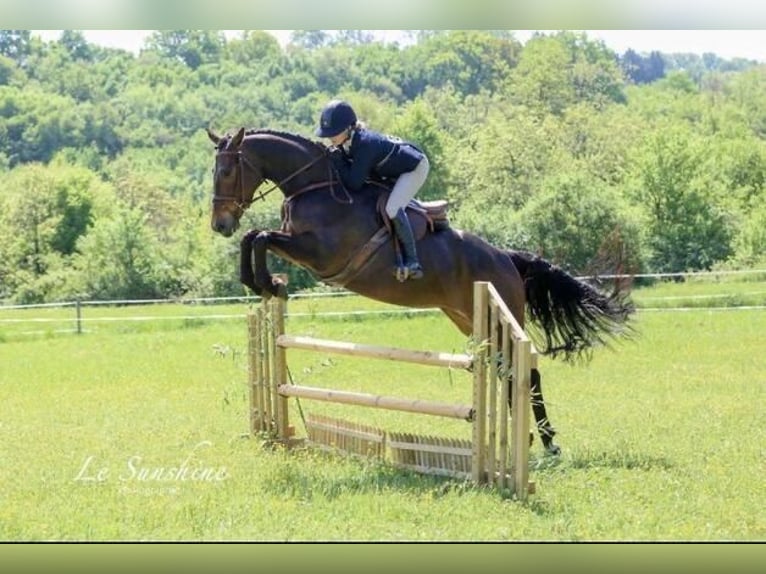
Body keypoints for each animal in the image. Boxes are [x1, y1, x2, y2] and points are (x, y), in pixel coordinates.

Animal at [206, 126, 636, 454]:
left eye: (226, 171)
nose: (219, 225)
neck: (316, 186)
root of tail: (507, 258)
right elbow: (254, 236)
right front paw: (262, 283)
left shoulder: (321, 255)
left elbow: (260, 235)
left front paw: (262, 281)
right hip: (468, 318)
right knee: (509, 373)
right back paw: (528, 441)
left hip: (499, 312)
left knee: (525, 374)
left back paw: (546, 444)